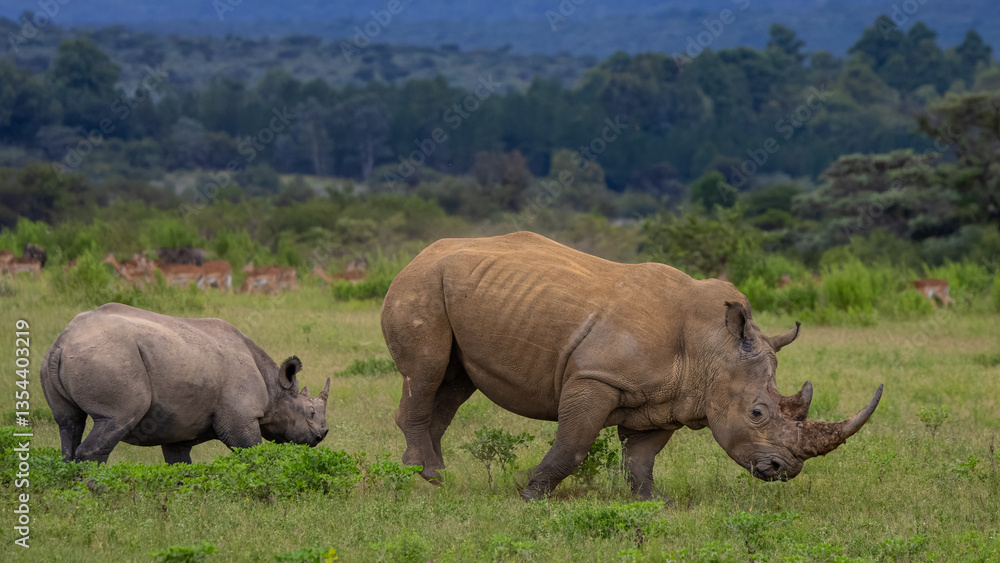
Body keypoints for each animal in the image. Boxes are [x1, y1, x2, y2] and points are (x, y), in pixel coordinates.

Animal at [41, 303, 330, 463]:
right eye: (310, 412)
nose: (322, 435)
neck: (275, 387)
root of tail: (62, 343)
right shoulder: (239, 418)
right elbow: (253, 454)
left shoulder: (178, 427)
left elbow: (180, 466)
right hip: (110, 357)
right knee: (115, 419)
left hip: (64, 359)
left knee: (69, 424)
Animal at [381, 232, 883, 500]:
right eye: (757, 413)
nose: (784, 470)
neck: (711, 348)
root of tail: (418, 254)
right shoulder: (594, 378)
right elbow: (574, 444)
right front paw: (531, 494)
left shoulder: (668, 400)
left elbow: (642, 457)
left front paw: (653, 502)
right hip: (419, 286)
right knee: (425, 374)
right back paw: (423, 475)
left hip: (450, 288)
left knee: (452, 384)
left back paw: (437, 477)